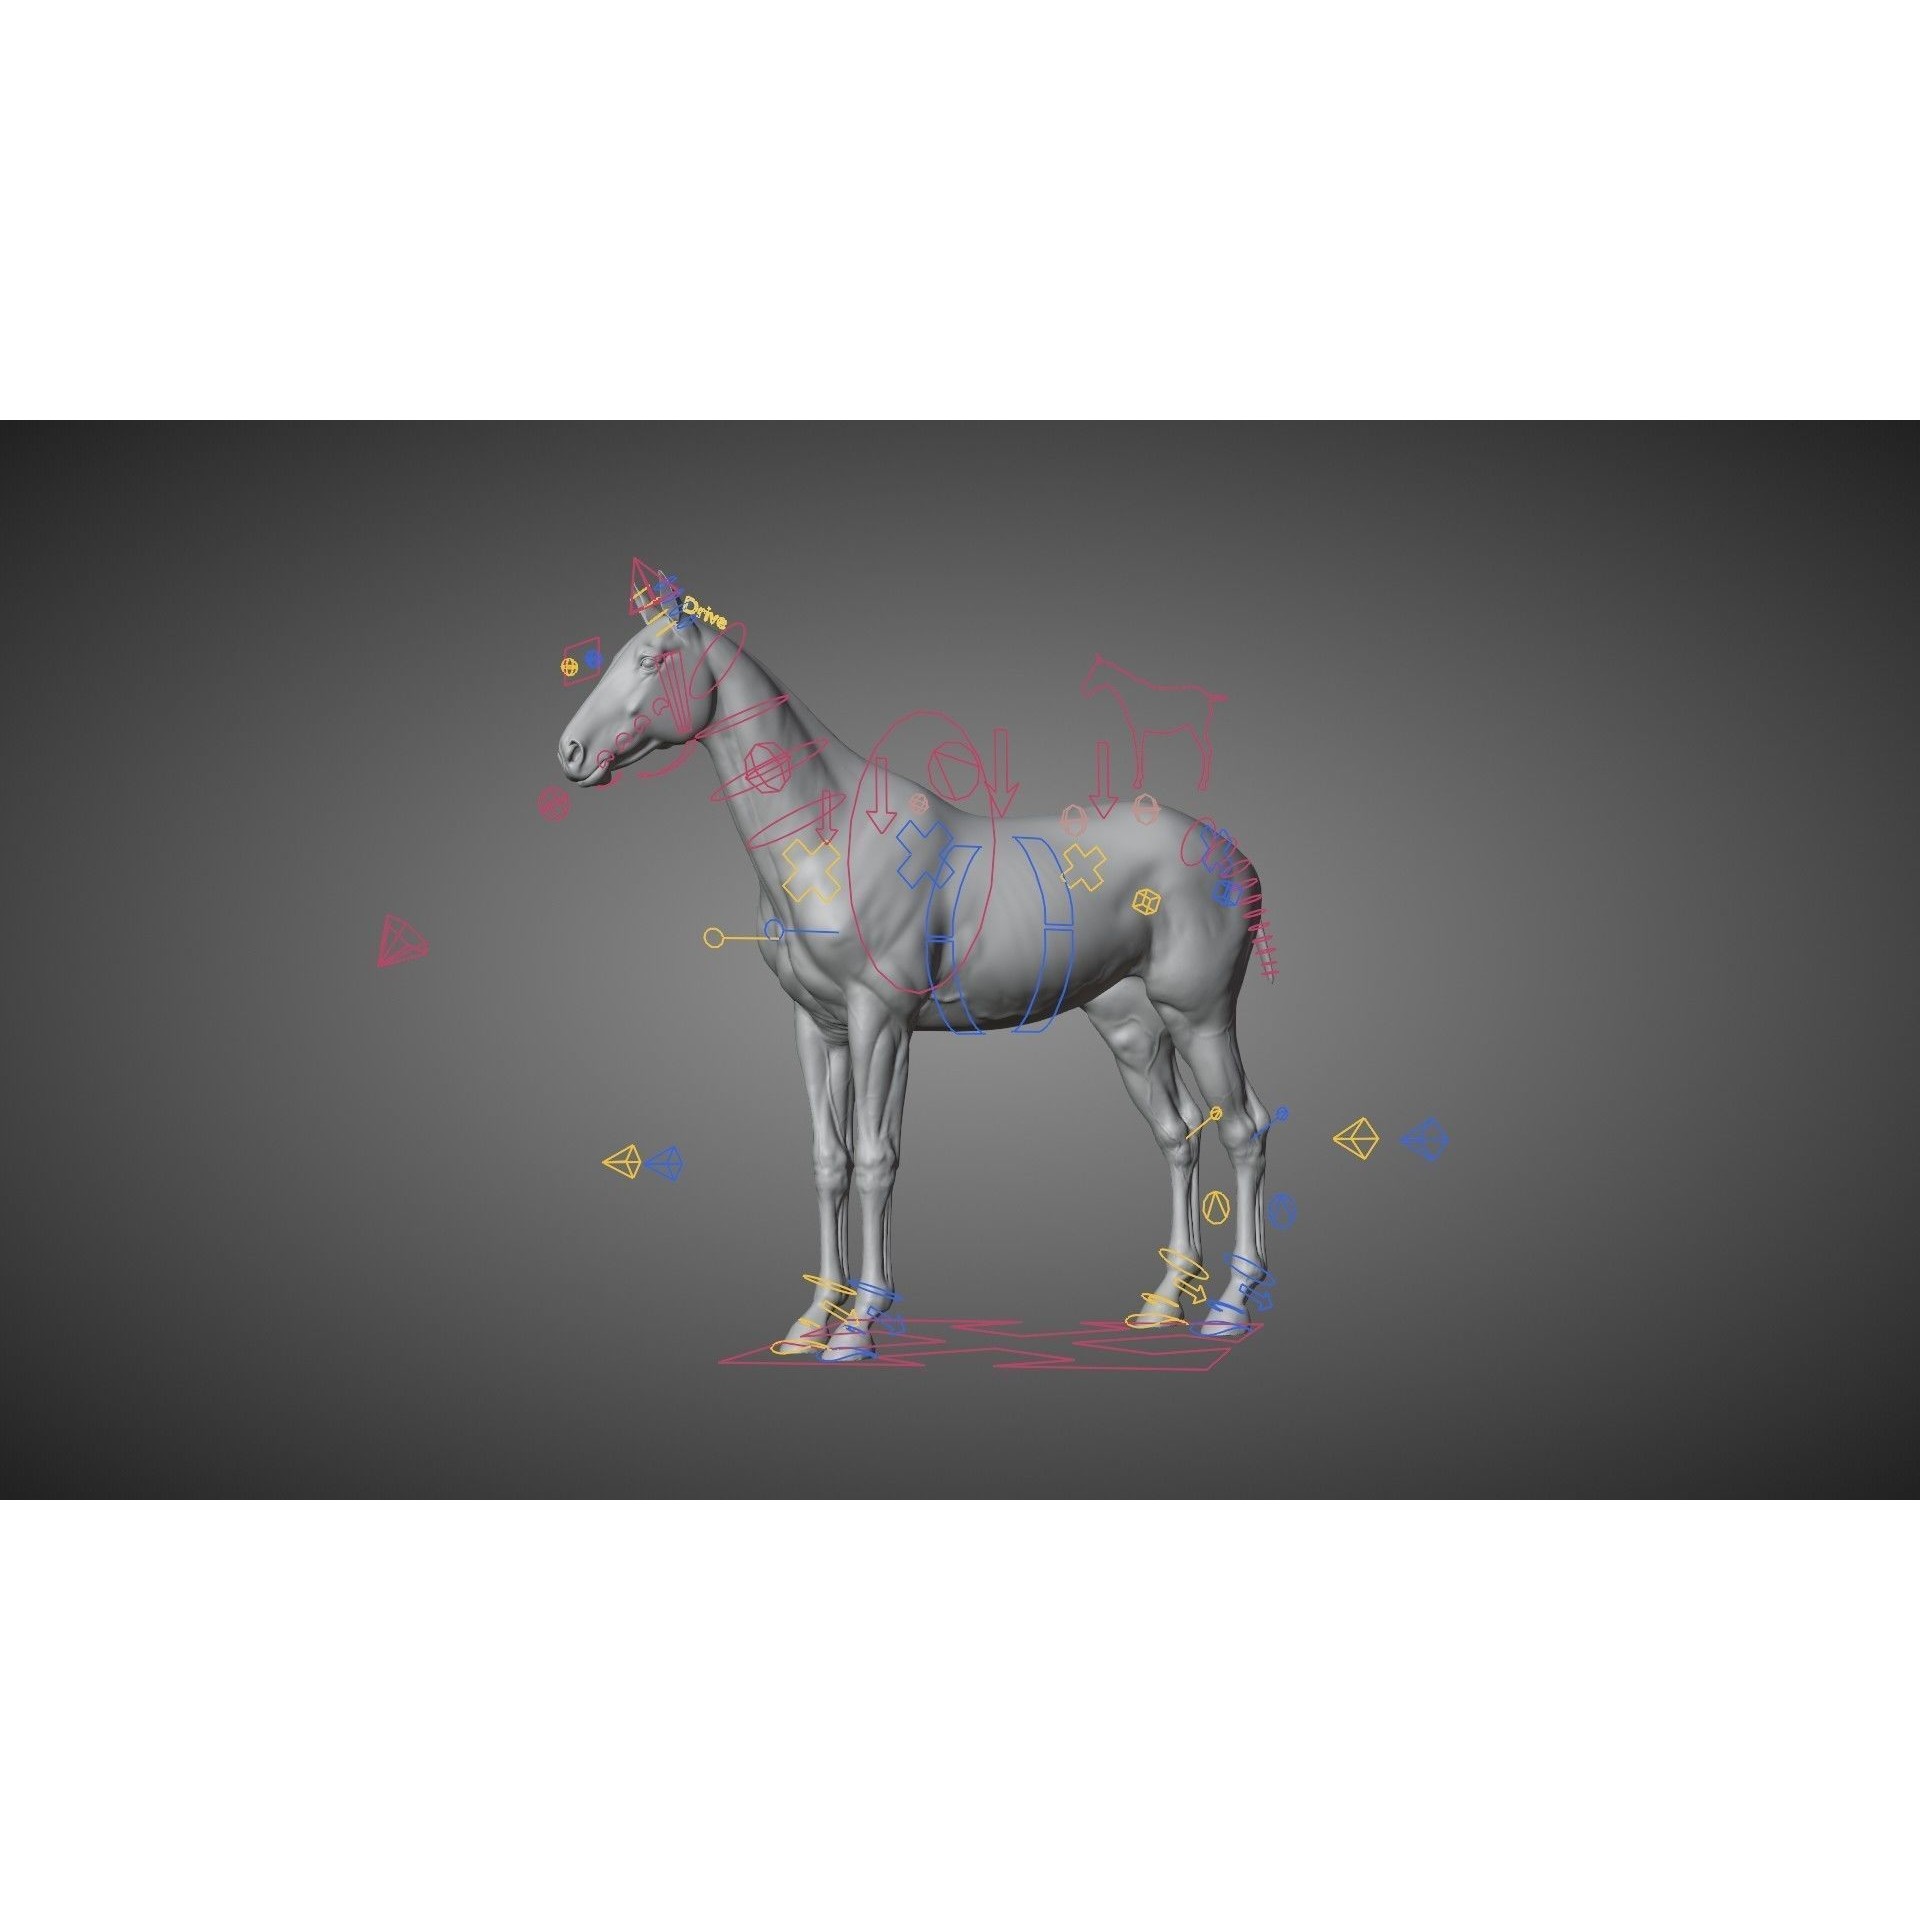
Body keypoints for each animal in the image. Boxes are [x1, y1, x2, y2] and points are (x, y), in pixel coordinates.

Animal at [557, 587, 1274, 1361]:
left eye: (651, 659)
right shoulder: (820, 1026)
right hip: (1131, 1026)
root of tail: (1235, 856)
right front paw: (811, 1322)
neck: (827, 841)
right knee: (1179, 1133)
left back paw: (1230, 1307)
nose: (570, 751)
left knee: (1244, 1128)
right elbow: (830, 1161)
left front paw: (858, 1326)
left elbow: (876, 1159)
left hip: (1199, 1015)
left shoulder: (882, 1021)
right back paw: (1165, 1304)